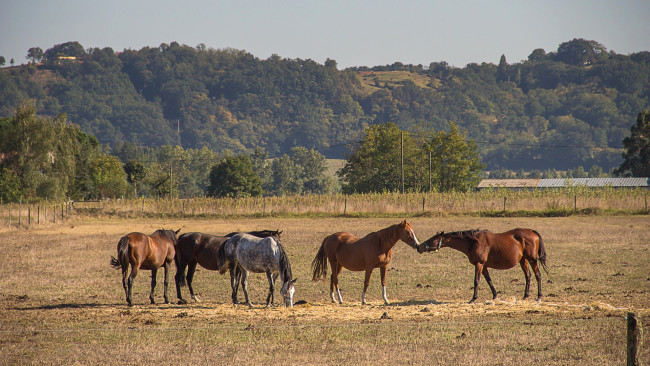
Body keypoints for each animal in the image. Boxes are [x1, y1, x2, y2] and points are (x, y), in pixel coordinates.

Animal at [416, 229, 548, 304]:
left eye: (432, 239)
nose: (419, 247)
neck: (474, 242)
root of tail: (532, 232)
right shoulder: (483, 266)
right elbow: (489, 280)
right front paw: (495, 296)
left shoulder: (479, 264)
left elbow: (476, 281)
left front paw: (473, 298)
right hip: (523, 260)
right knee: (528, 276)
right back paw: (526, 295)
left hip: (532, 260)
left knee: (537, 275)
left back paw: (539, 296)